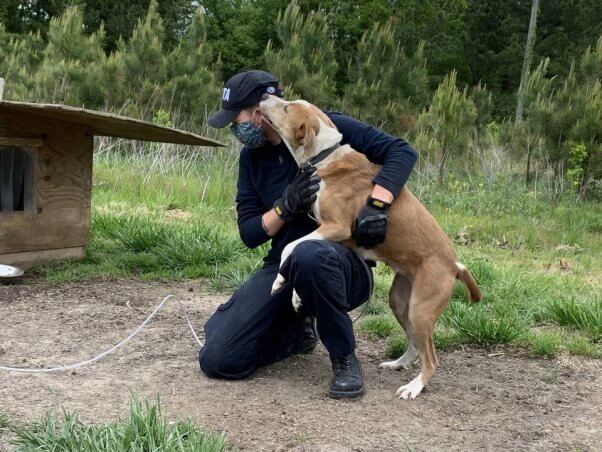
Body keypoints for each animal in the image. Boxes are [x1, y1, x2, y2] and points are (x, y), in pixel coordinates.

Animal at [260, 94, 480, 400]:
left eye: (286, 107)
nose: (265, 96)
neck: (326, 156)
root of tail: (453, 264)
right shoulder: (325, 230)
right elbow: (296, 252)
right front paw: (294, 296)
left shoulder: (337, 227)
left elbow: (291, 248)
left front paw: (279, 282)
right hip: (400, 302)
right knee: (415, 345)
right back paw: (398, 363)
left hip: (421, 309)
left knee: (432, 358)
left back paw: (414, 387)